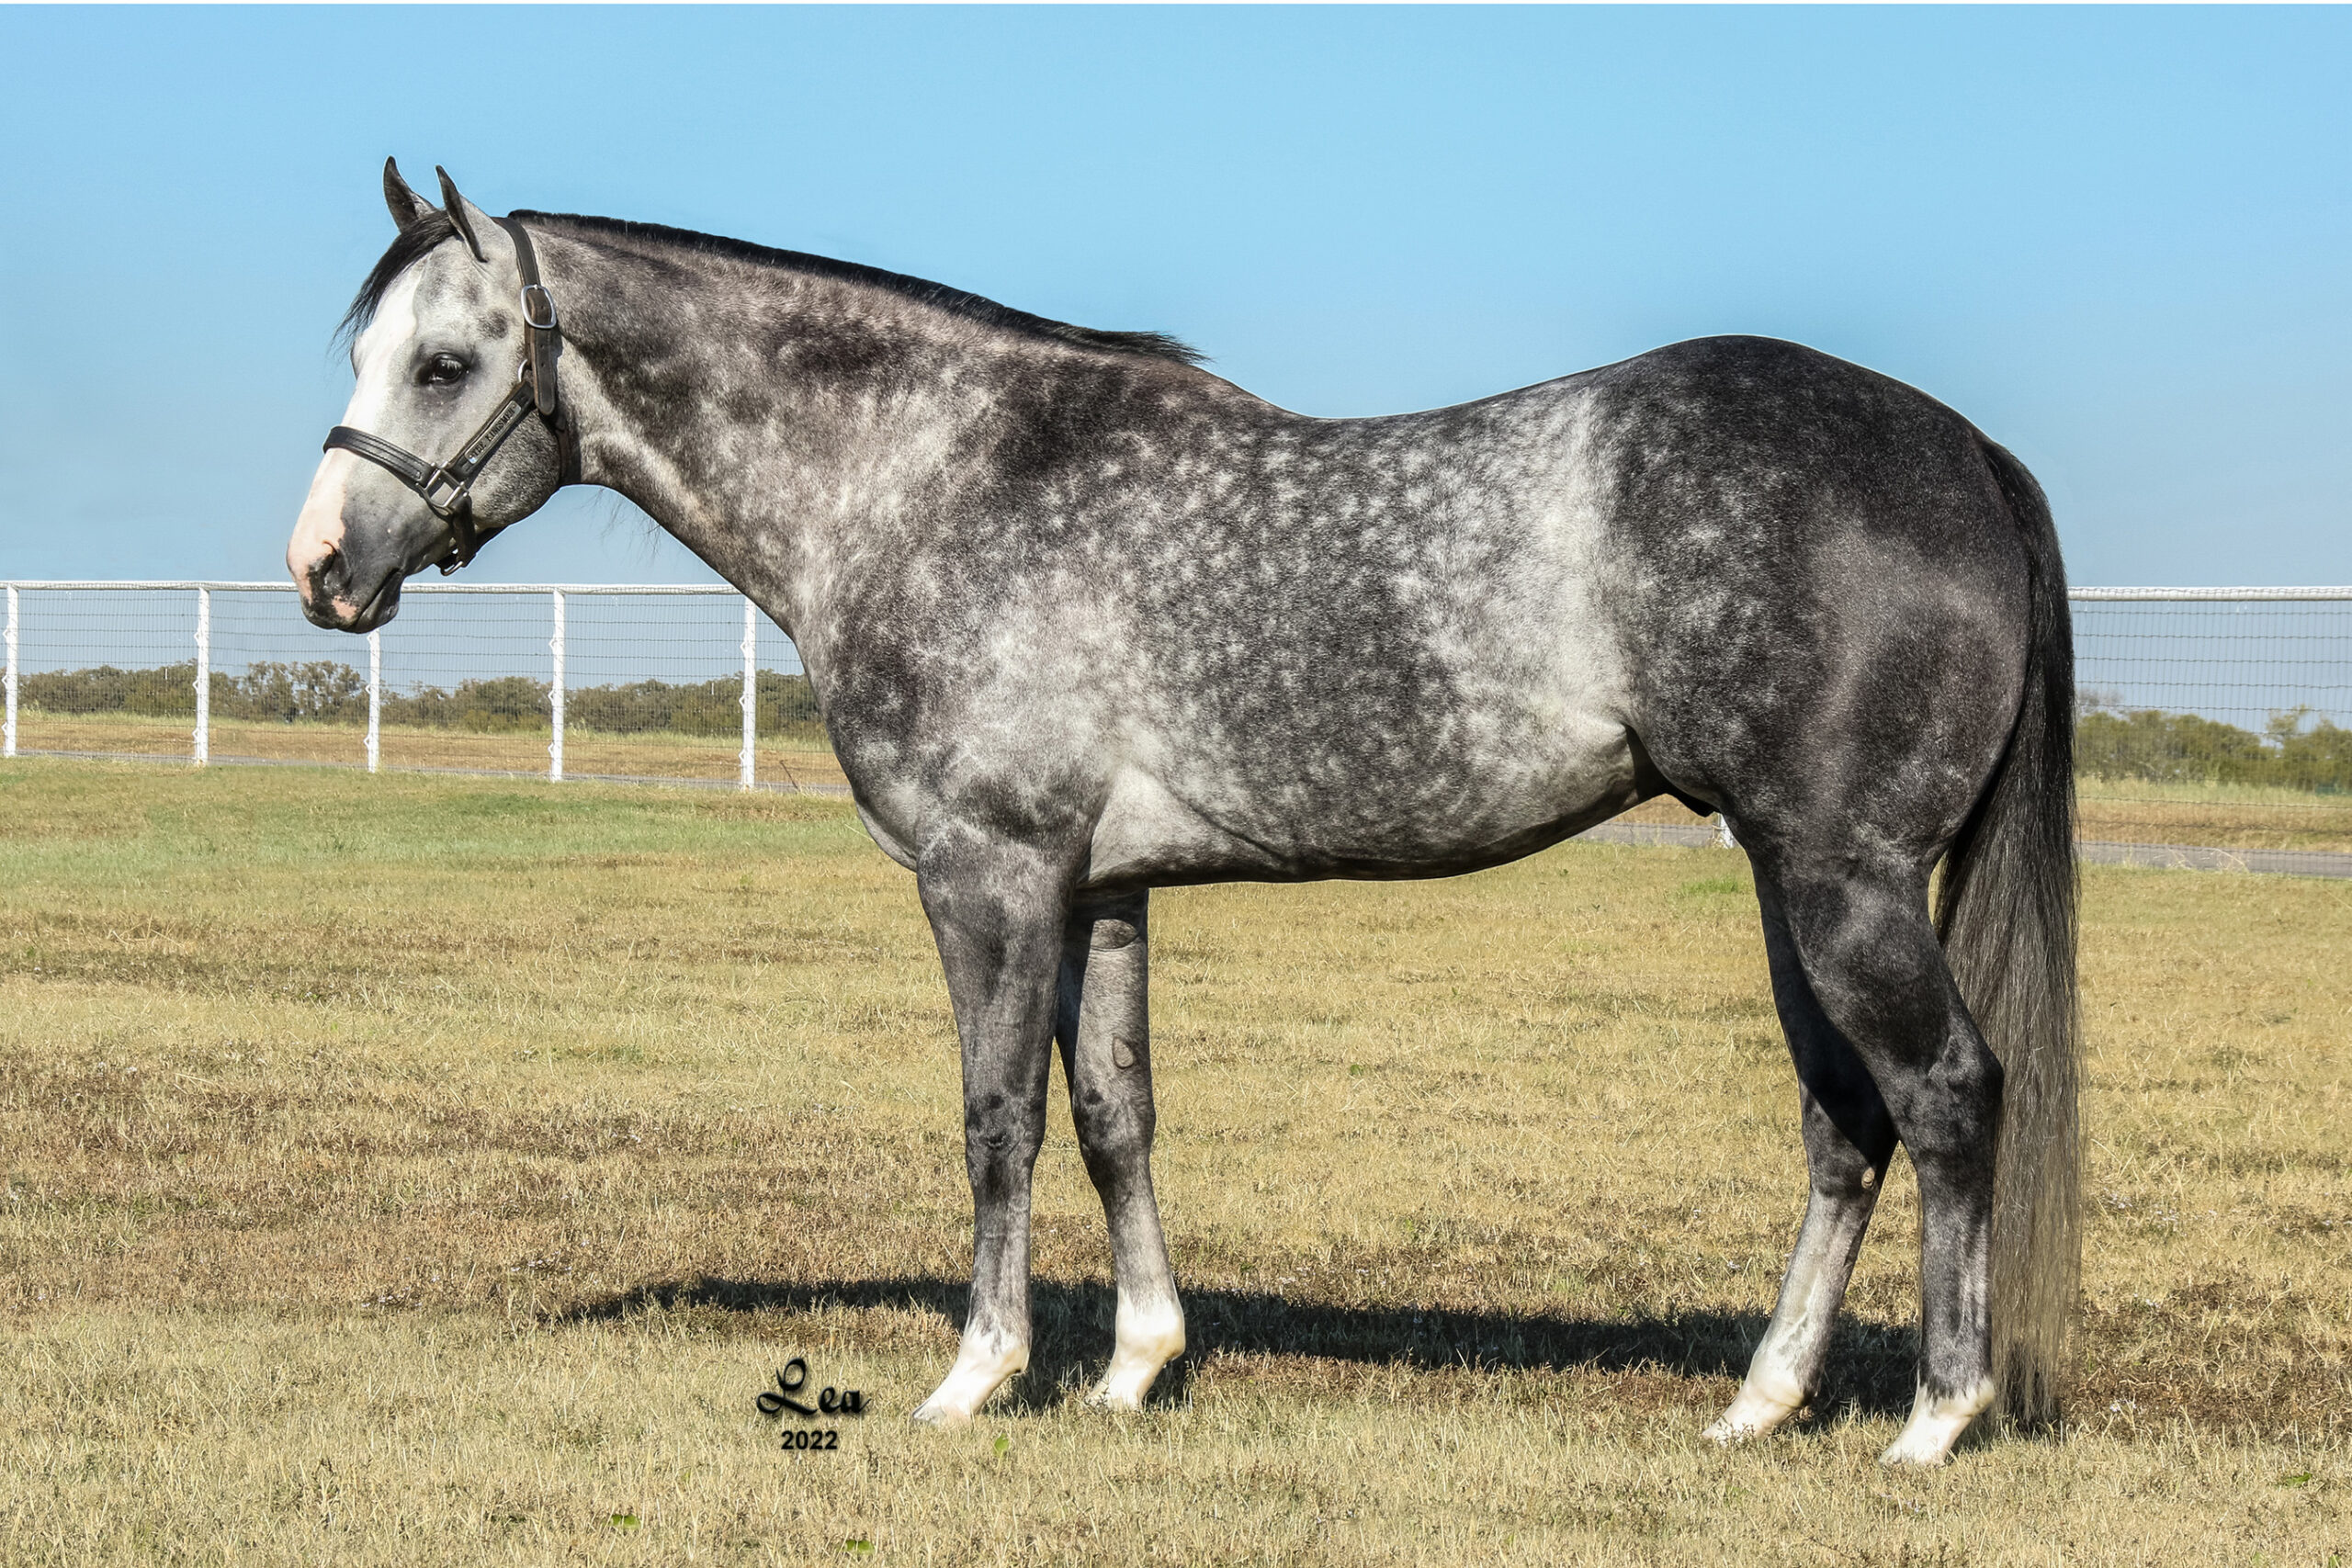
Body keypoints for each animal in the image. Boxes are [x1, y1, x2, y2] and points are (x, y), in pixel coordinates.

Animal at [289, 161, 2078, 1466]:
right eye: (370, 352)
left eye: (444, 362)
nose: (321, 568)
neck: (936, 478)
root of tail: (1965, 452)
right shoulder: (1104, 888)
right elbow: (1115, 1115)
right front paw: (1135, 1368)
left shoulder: (991, 874)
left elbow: (997, 1117)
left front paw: (976, 1376)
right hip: (1790, 879)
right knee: (1846, 1124)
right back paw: (1760, 1403)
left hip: (1843, 879)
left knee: (1945, 1094)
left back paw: (1934, 1421)